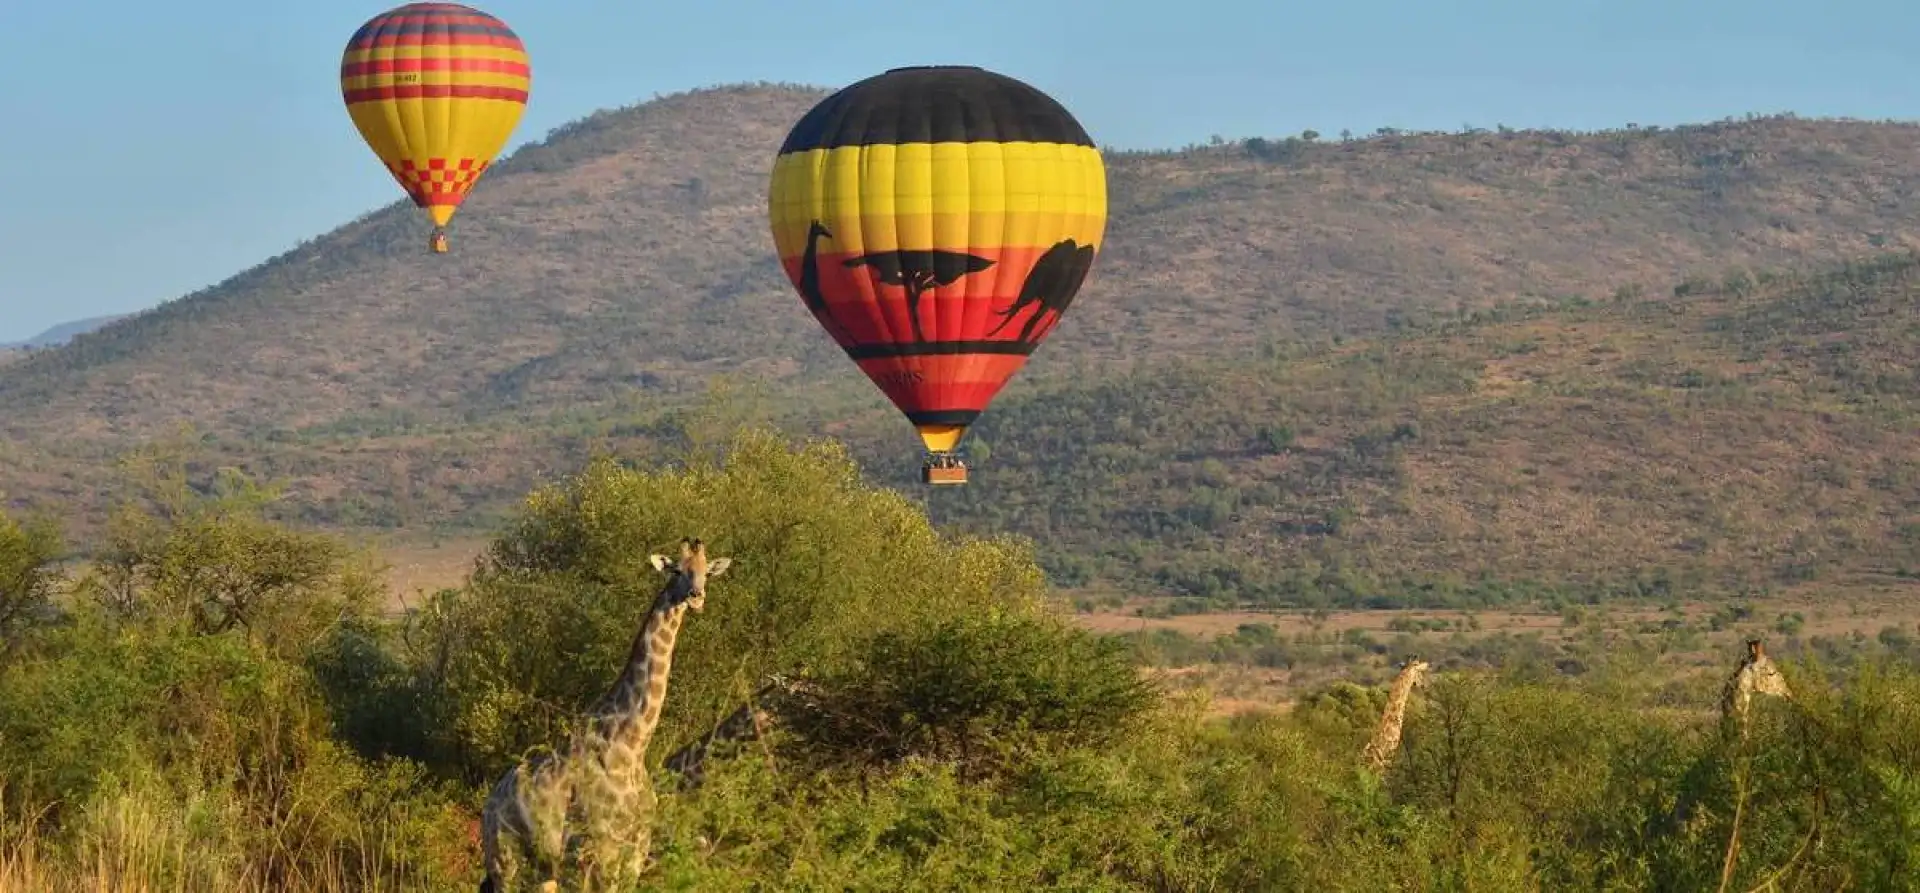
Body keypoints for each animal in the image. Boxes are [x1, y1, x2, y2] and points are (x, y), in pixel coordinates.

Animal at [478, 538, 733, 893]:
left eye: (706, 571)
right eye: (677, 570)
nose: (697, 597)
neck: (633, 744)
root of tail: (488, 807)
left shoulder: (636, 849)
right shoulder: (603, 846)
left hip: (543, 867)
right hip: (506, 859)